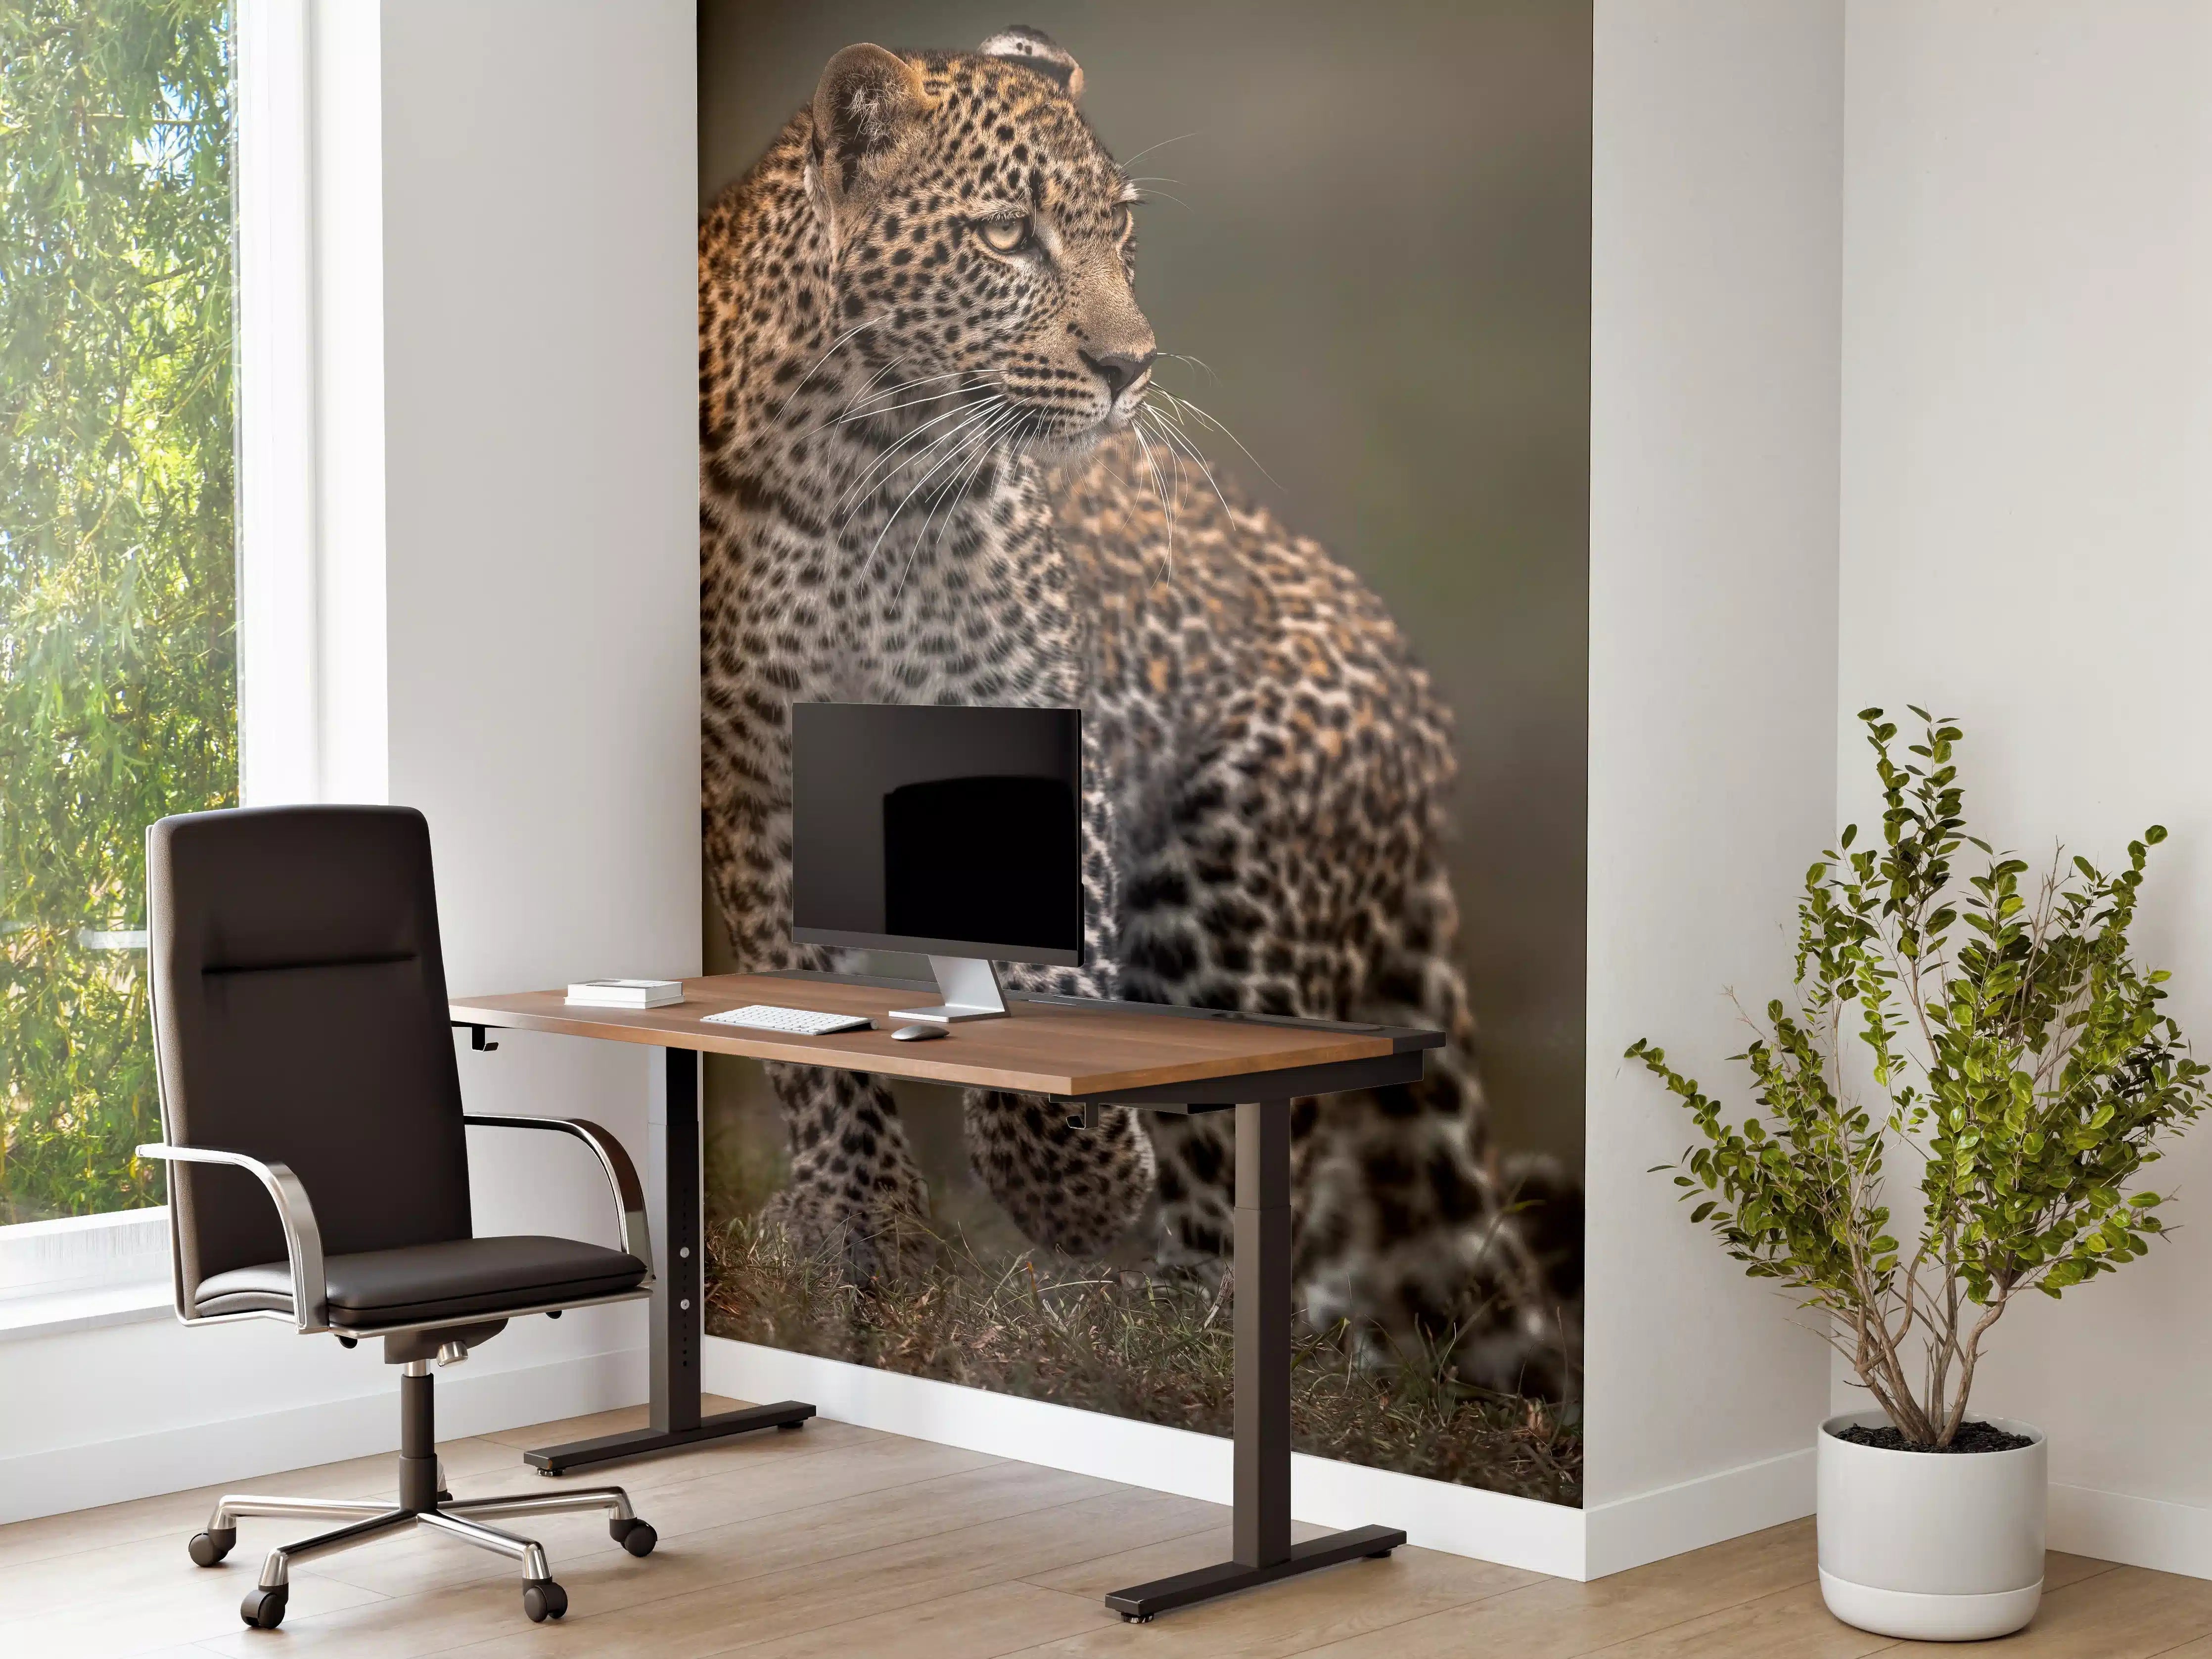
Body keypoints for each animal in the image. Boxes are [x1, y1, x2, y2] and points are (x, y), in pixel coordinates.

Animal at [699, 27, 1574, 1395]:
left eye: (1118, 235)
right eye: (1008, 236)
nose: (1130, 370)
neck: (854, 471)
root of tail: (1415, 689)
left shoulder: (1043, 731)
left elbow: (1036, 1004)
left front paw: (1077, 1186)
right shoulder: (755, 786)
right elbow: (807, 1039)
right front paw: (862, 1230)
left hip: (1233, 892)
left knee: (1252, 1216)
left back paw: (1161, 1338)